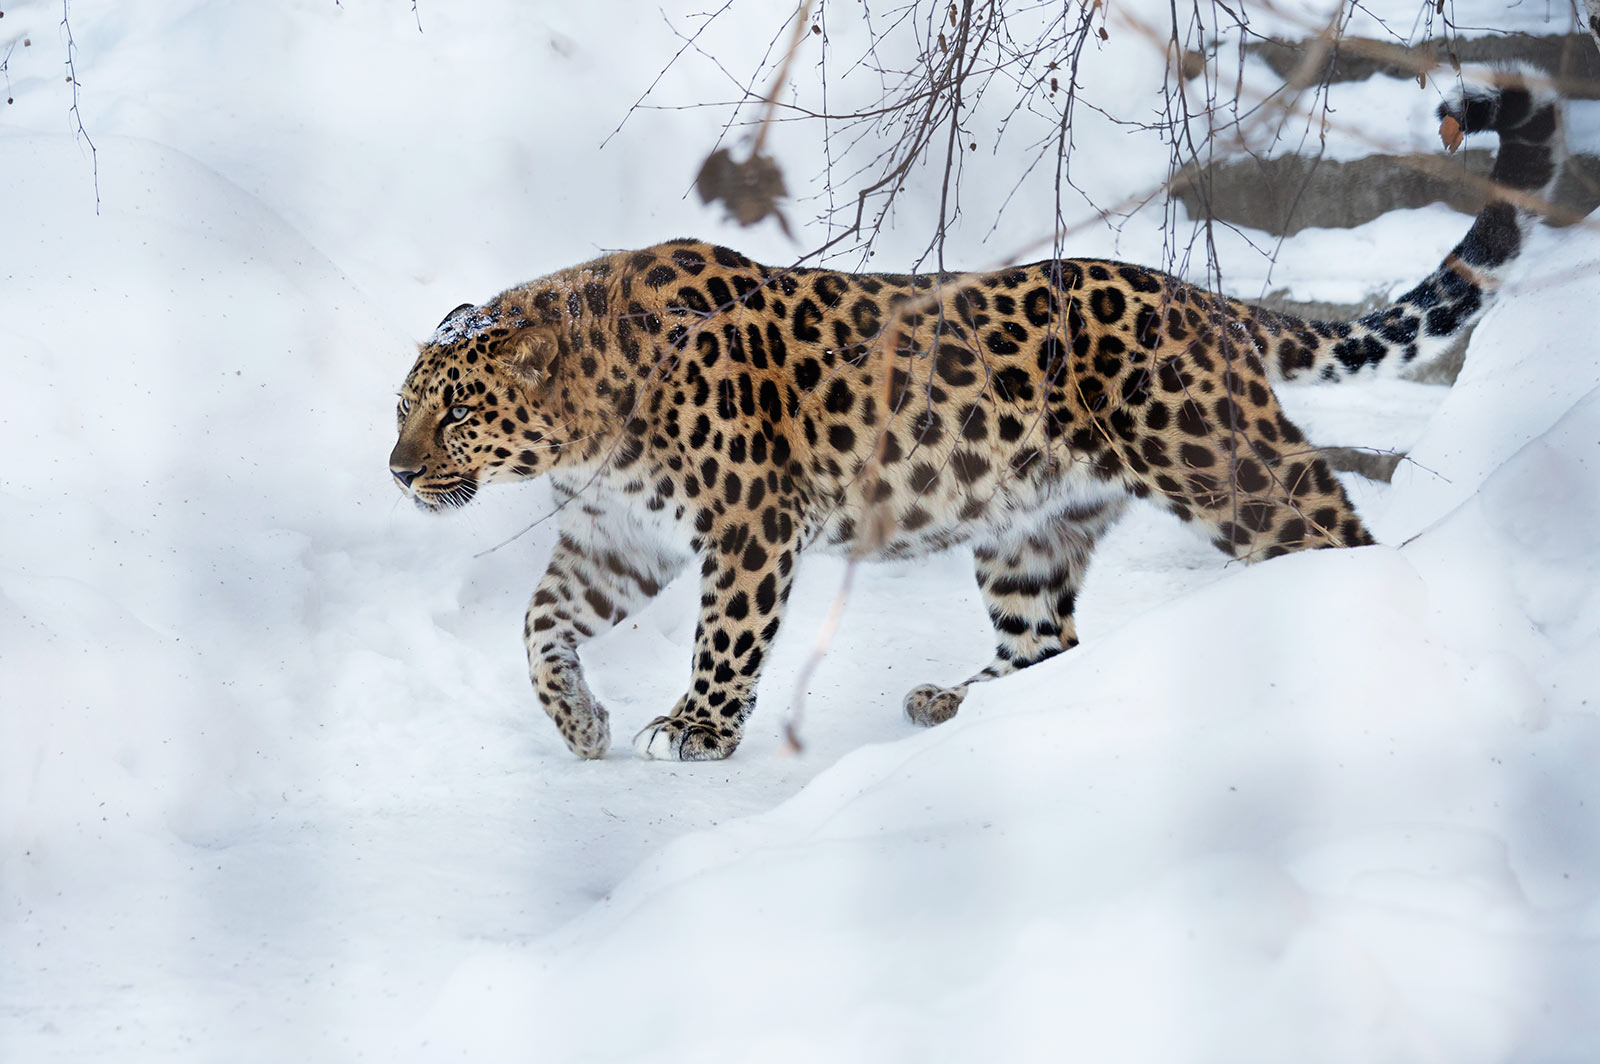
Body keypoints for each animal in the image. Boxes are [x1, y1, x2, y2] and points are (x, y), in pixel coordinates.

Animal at [390, 74, 1561, 758]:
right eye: (401, 411)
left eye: (456, 412)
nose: (398, 472)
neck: (587, 431)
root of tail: (1201, 300)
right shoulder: (617, 535)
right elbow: (541, 625)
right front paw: (578, 719)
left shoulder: (751, 524)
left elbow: (726, 635)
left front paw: (696, 727)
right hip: (1027, 530)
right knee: (1045, 642)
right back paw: (958, 706)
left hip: (1223, 465)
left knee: (1335, 530)